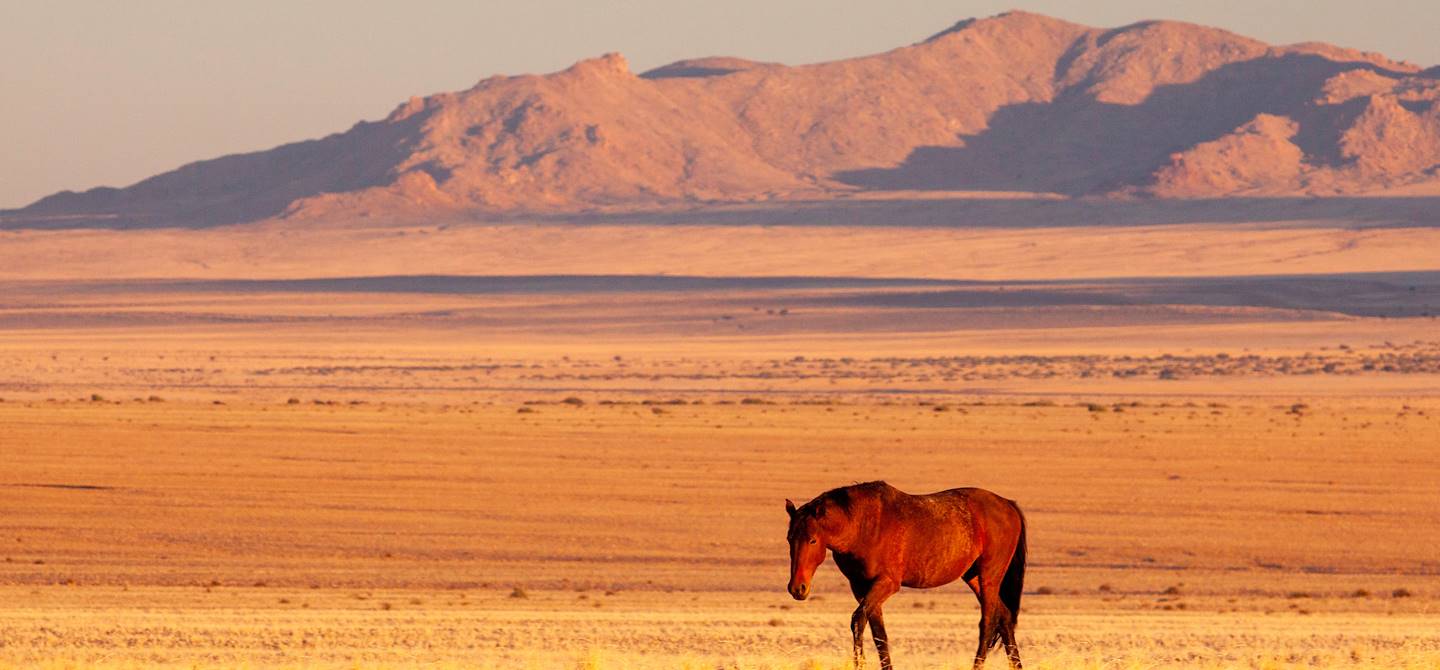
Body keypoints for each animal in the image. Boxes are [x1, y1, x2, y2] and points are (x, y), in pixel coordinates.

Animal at [783, 481, 1031, 668]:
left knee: (988, 622)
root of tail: (1008, 505)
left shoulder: (886, 584)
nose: (797, 588)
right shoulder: (862, 588)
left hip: (989, 576)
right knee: (1004, 617)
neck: (862, 526)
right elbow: (879, 636)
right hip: (973, 577)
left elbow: (858, 621)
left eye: (812, 540)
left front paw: (859, 663)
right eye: (789, 538)